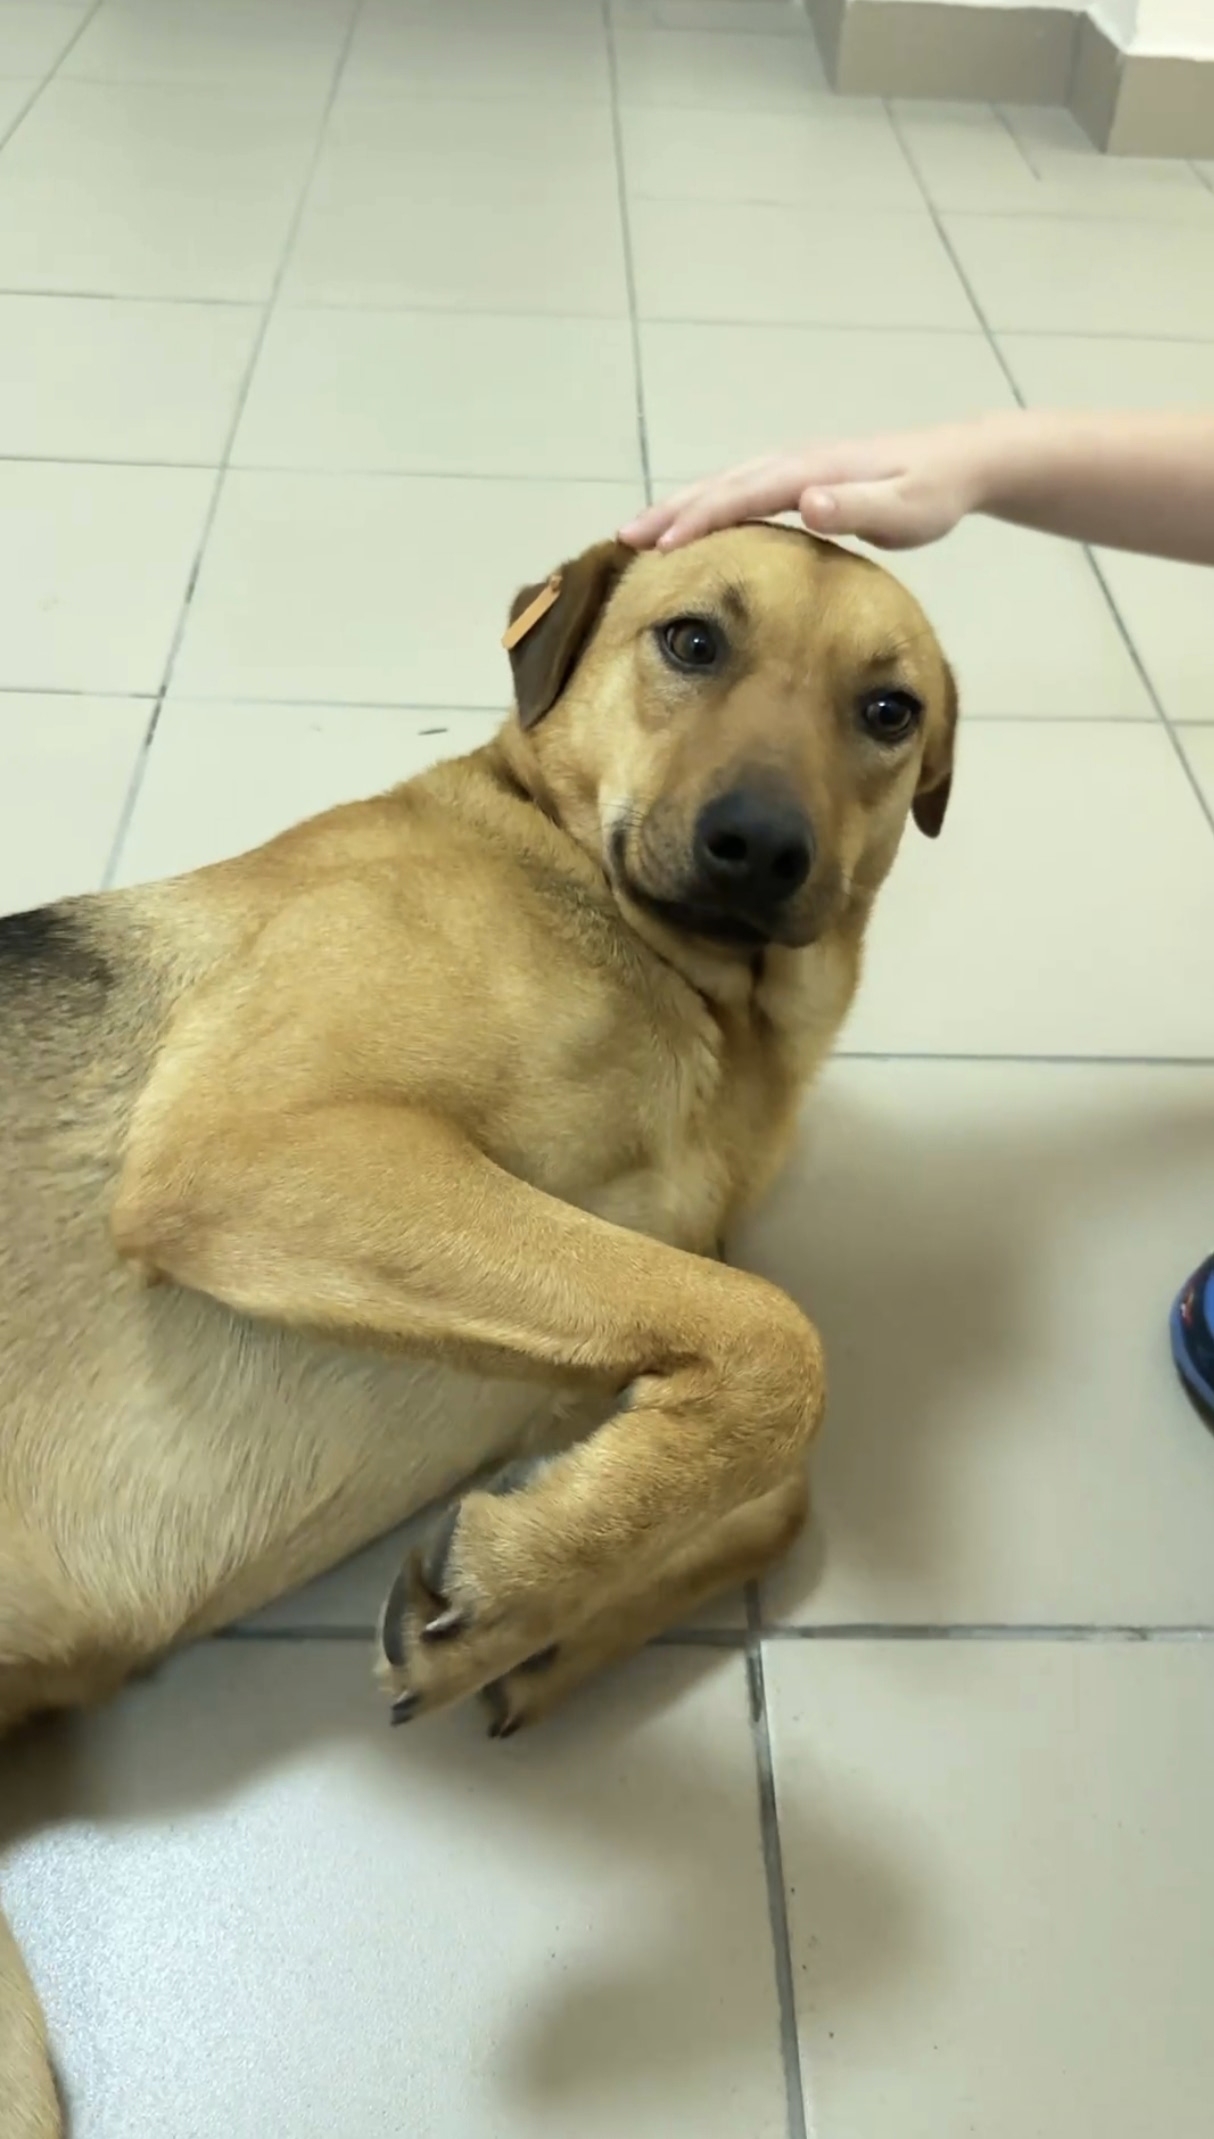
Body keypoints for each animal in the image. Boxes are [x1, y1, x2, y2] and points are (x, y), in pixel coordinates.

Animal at [0, 525, 955, 2133]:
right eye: (690, 640)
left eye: (887, 712)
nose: (759, 849)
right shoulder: (265, 1149)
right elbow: (780, 1347)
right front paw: (525, 1582)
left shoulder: (574, 1345)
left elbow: (764, 1471)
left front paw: (531, 1606)